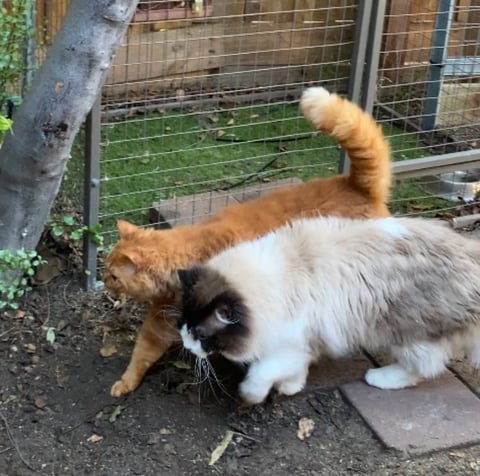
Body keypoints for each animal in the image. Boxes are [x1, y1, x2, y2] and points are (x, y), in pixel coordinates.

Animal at [103, 86, 392, 398]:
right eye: (105, 271)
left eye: (113, 276)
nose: (104, 282)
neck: (189, 256)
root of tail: (355, 184)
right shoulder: (162, 319)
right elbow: (142, 352)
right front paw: (127, 382)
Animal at [174, 218, 480, 404]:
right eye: (183, 325)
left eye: (201, 335)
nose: (186, 345)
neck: (272, 283)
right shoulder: (301, 345)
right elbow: (295, 371)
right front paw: (291, 387)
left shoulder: (291, 343)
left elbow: (261, 373)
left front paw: (252, 396)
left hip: (407, 334)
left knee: (422, 367)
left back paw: (380, 378)